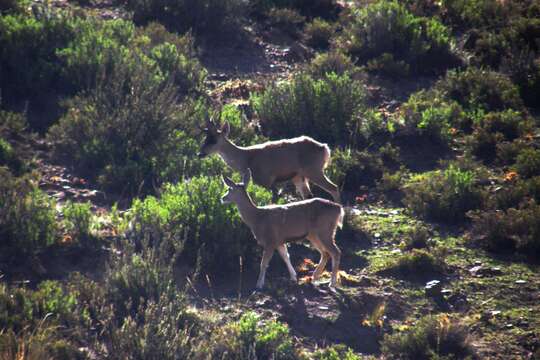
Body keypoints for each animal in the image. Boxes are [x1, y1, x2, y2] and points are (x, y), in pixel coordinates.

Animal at [198, 118, 342, 202]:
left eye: (214, 140)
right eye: (205, 139)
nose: (200, 153)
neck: (245, 159)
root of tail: (325, 148)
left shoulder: (266, 179)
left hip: (314, 170)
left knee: (334, 188)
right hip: (299, 176)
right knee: (308, 196)